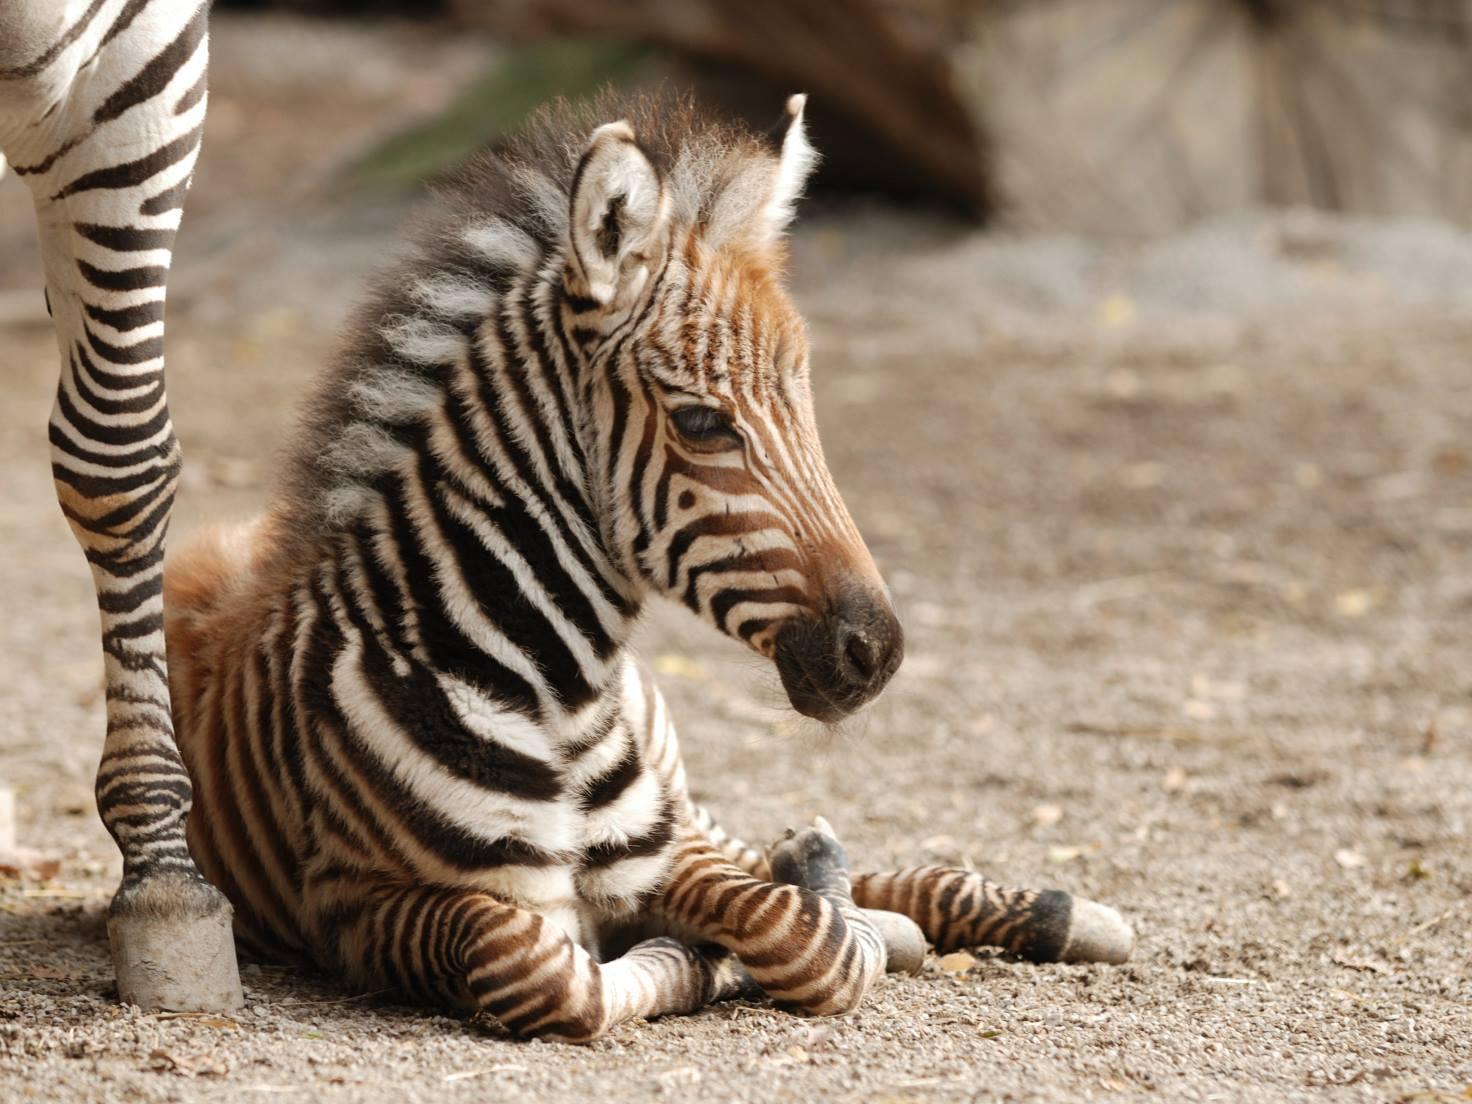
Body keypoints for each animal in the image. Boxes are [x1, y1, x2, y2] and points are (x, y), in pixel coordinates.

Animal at [160, 89, 1134, 1040]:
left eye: (809, 405)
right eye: (702, 424)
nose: (878, 653)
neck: (555, 693)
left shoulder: (663, 846)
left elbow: (791, 925)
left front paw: (754, 933)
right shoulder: (363, 904)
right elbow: (553, 970)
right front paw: (697, 959)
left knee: (790, 859)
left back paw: (1038, 910)